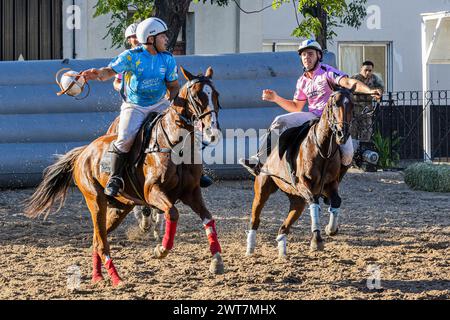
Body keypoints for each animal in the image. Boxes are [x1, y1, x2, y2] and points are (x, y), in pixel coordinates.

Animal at [23, 66, 224, 286]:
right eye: (196, 96)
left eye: (216, 94)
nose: (213, 132)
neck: (173, 143)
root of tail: (84, 152)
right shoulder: (153, 191)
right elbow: (172, 213)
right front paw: (161, 250)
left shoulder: (192, 192)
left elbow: (208, 218)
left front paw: (216, 262)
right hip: (96, 202)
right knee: (101, 241)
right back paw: (116, 279)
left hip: (120, 207)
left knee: (97, 238)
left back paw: (98, 276)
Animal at [244, 89, 354, 258]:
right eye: (335, 104)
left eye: (352, 105)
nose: (343, 134)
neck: (322, 150)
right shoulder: (304, 183)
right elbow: (314, 203)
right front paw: (317, 240)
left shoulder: (331, 184)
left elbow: (336, 201)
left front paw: (331, 229)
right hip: (262, 190)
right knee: (255, 219)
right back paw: (250, 248)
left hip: (297, 200)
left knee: (284, 227)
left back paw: (282, 251)